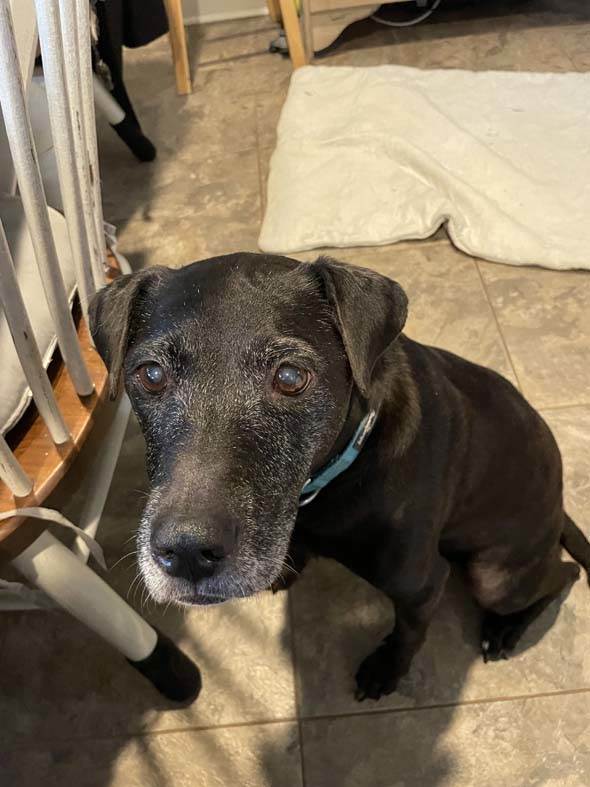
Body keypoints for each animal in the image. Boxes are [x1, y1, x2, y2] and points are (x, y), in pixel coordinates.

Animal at [90, 252, 590, 700]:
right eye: (151, 374)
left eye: (291, 376)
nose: (188, 553)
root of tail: (560, 506)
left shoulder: (422, 585)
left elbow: (408, 635)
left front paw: (386, 671)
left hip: (495, 578)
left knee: (563, 575)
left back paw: (506, 630)